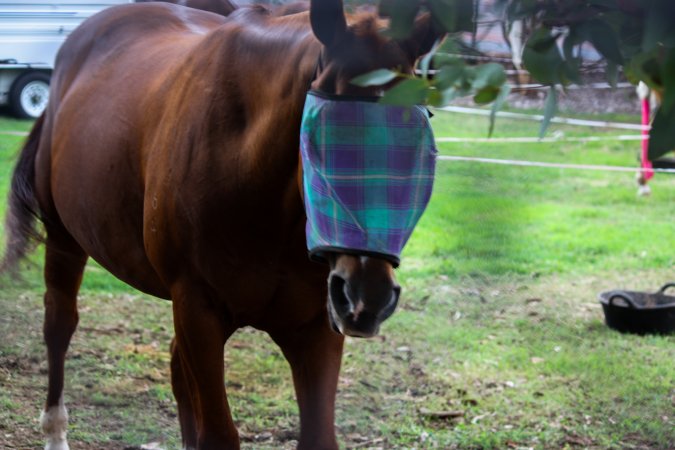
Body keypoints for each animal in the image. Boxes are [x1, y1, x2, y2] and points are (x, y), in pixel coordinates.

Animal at [1, 0, 442, 448]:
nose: (366, 295)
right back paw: (55, 430)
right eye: (317, 130)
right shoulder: (198, 310)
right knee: (59, 325)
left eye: (421, 134)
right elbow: (218, 433)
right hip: (64, 240)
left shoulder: (316, 328)